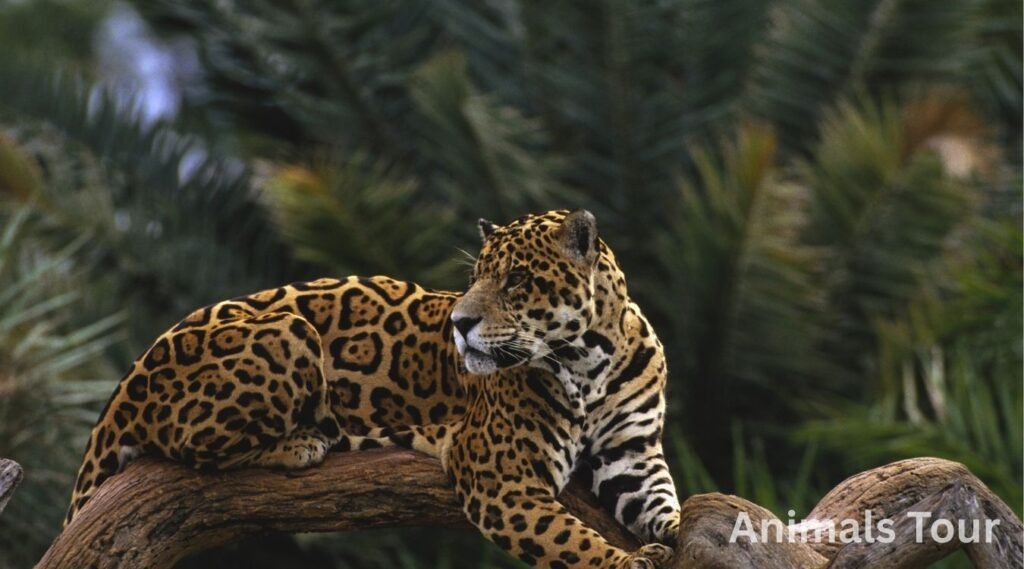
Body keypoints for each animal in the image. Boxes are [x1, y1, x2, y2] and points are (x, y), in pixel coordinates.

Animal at [65, 209, 681, 569]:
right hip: (288, 332)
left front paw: (674, 532)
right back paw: (302, 442)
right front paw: (626, 562)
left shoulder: (630, 454)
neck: (590, 359)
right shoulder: (499, 476)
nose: (459, 324)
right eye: (474, 277)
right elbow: (568, 540)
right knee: (194, 447)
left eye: (517, 280)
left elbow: (664, 501)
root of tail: (129, 379)